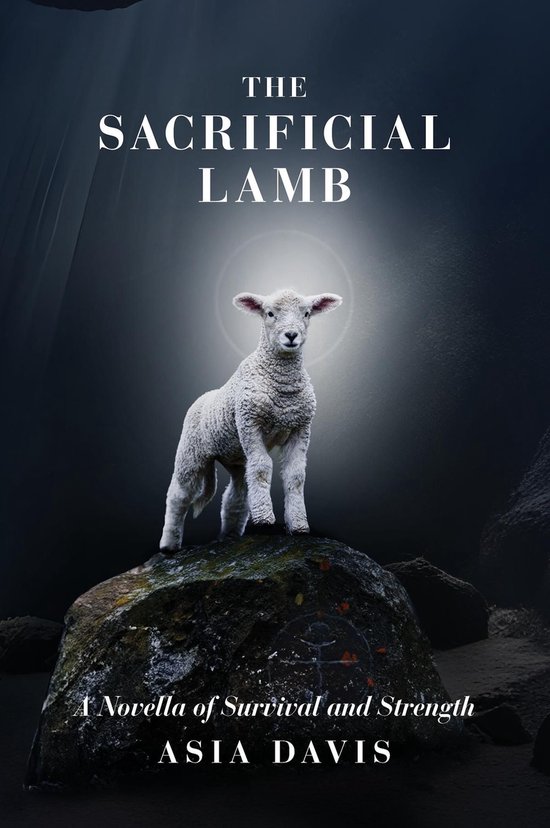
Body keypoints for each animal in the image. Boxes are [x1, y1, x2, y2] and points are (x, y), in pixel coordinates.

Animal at [159, 288, 342, 553]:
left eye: (307, 313)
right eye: (270, 313)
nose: (291, 335)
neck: (282, 386)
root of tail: (203, 397)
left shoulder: (301, 428)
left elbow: (295, 476)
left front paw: (298, 526)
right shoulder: (250, 423)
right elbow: (263, 468)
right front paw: (265, 520)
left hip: (236, 457)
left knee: (235, 495)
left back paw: (230, 536)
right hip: (191, 452)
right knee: (179, 494)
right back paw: (169, 545)